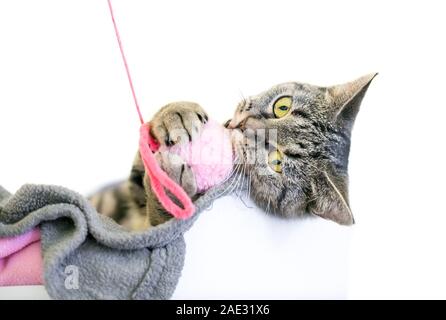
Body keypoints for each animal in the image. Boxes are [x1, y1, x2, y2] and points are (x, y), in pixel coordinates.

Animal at [89, 74, 374, 230]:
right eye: (282, 106)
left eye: (277, 162)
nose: (243, 126)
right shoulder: (132, 188)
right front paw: (176, 112)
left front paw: (171, 185)